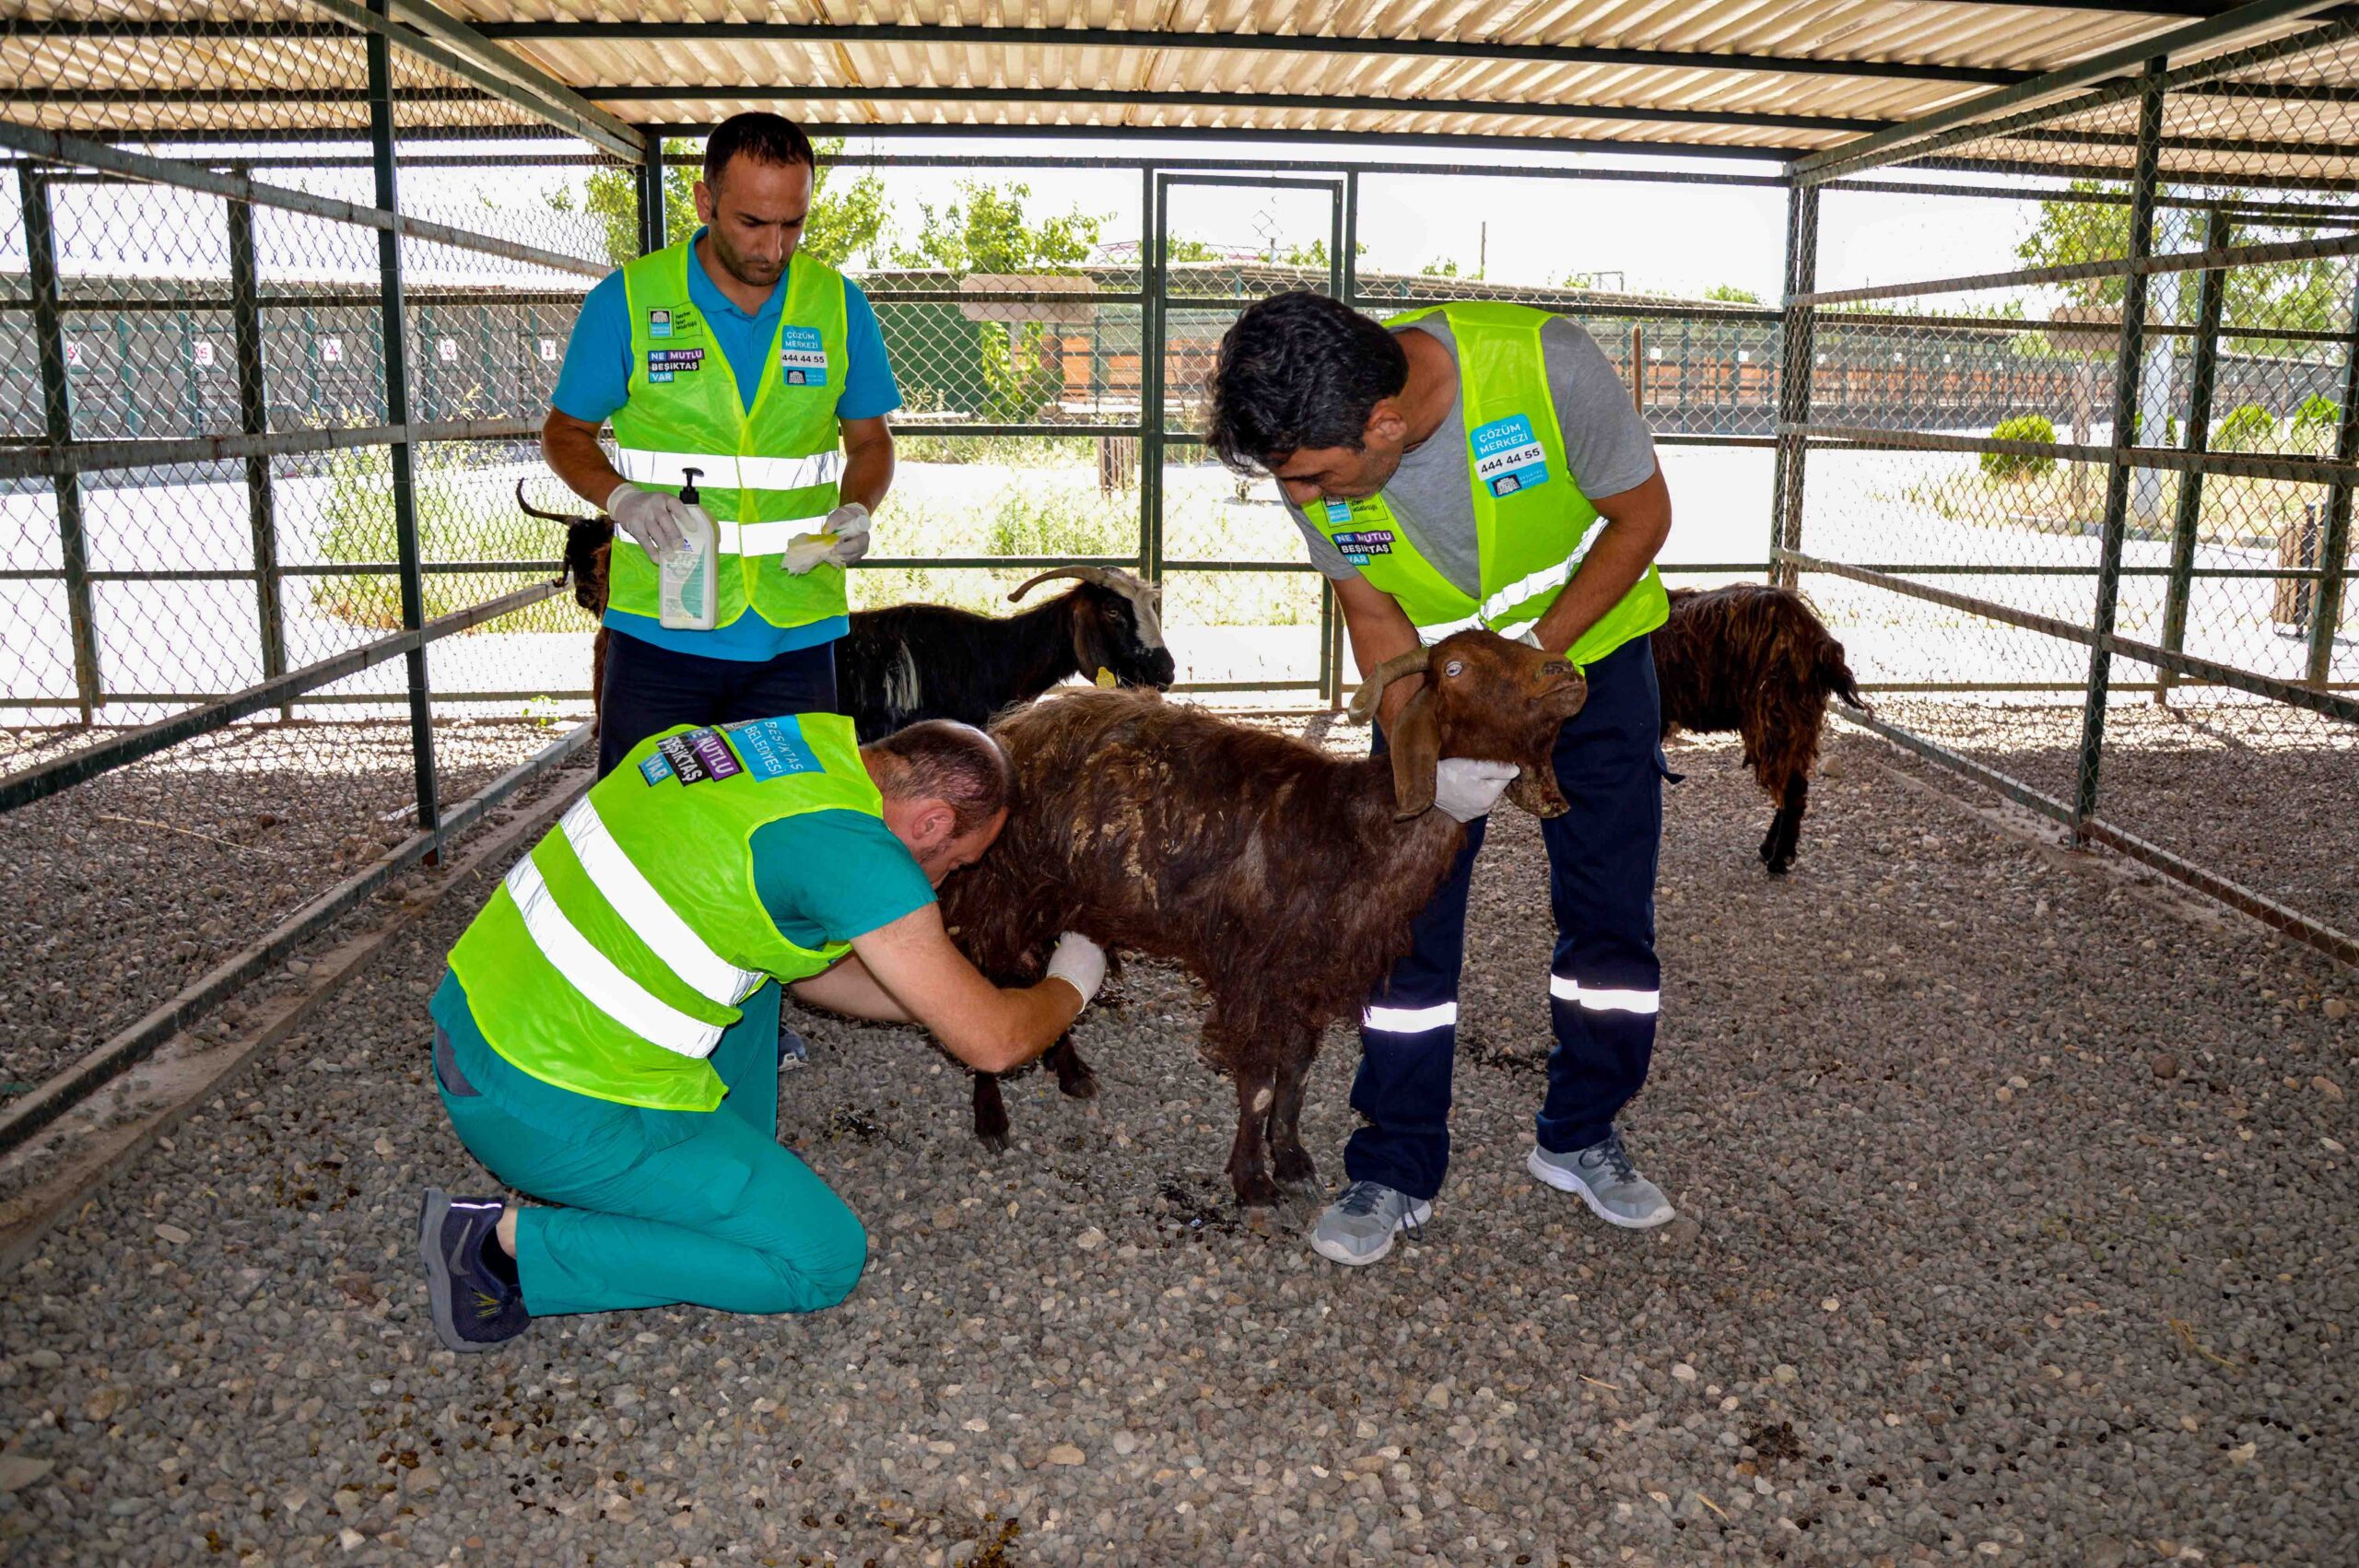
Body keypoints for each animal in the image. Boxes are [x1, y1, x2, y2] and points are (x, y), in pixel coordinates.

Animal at [938, 631, 1585, 1202]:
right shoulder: (1254, 973)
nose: (1566, 673)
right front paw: (1252, 1181)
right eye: (1455, 668)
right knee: (985, 988)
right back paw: (991, 1117)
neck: (1352, 827)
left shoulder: (1308, 977)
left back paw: (1070, 1071)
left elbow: (1295, 1076)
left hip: (1053, 898)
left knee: (1035, 974)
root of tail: (1010, 727)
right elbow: (1258, 1083)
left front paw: (1293, 1161)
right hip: (997, 892)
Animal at [1651, 579, 1868, 872]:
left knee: (1792, 791)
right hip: (1799, 726)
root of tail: (1821, 646)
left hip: (1776, 717)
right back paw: (1771, 850)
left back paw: (1778, 860)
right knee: (1794, 786)